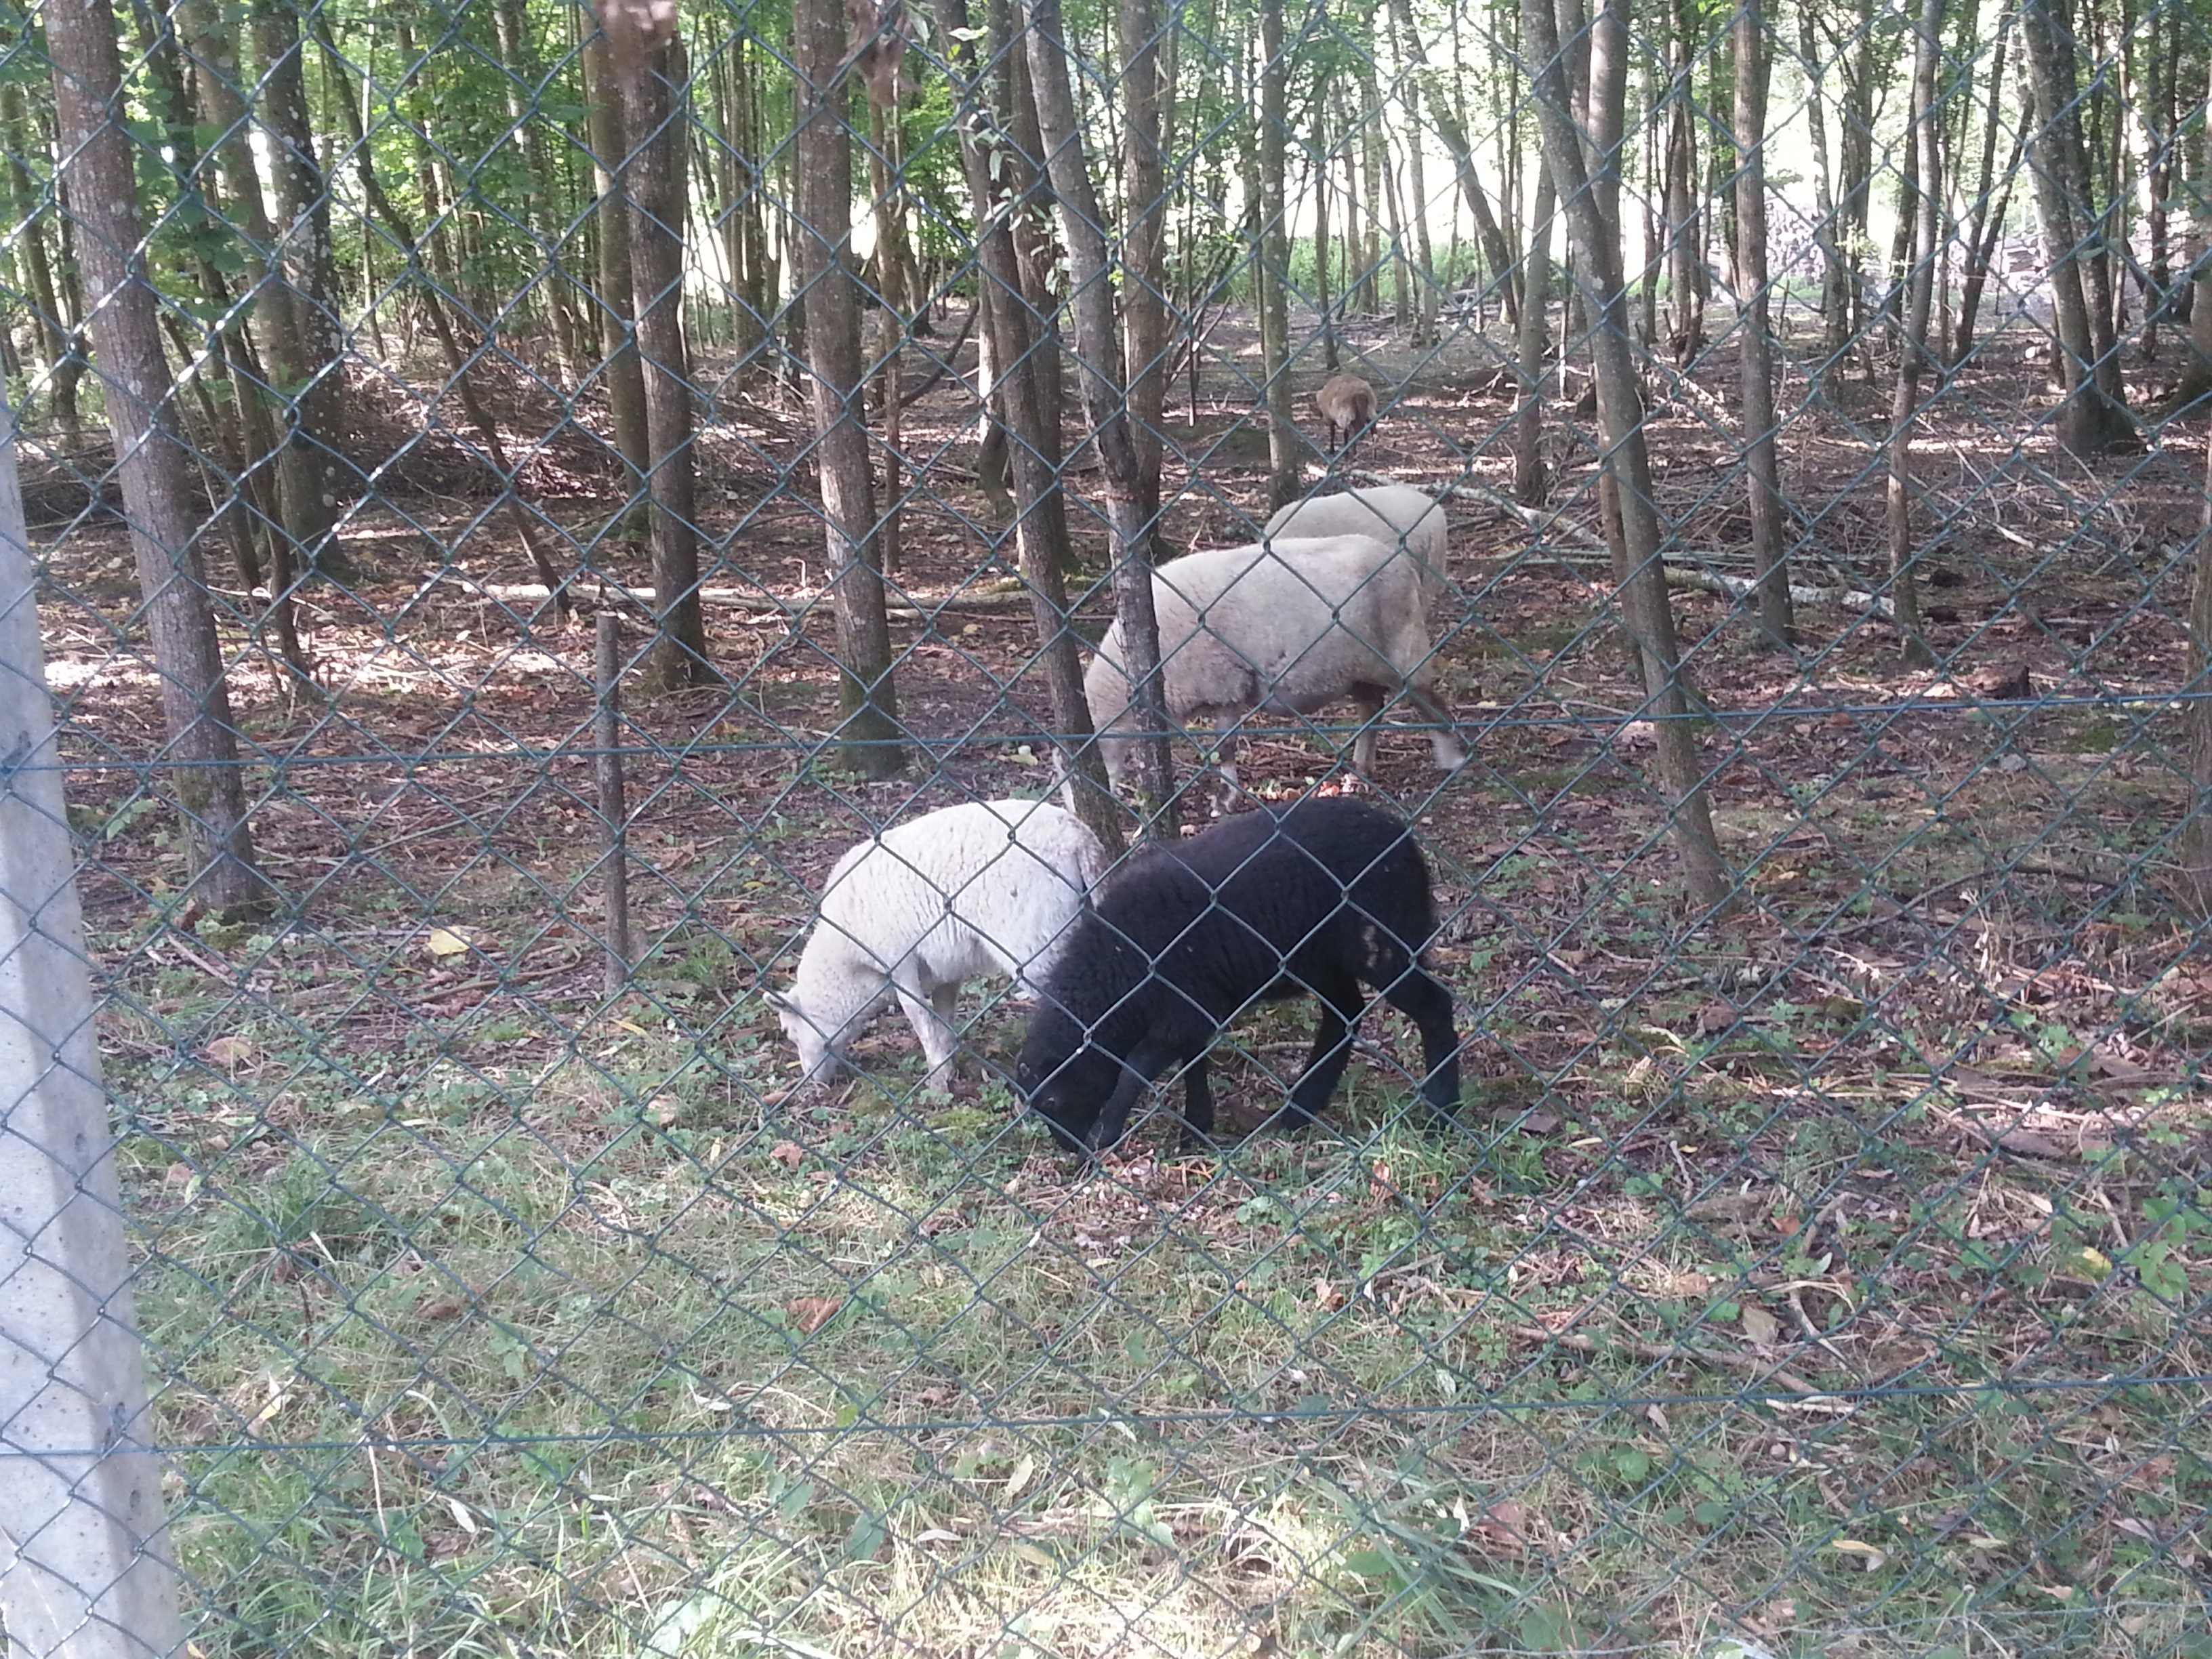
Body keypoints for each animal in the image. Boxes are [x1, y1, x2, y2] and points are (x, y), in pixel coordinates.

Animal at [765, 800, 1106, 1097]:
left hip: (1036, 939)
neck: (848, 968)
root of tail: (1078, 839)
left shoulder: (897, 962)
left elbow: (919, 1016)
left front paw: (937, 1079)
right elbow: (944, 1013)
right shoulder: (946, 967)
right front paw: (948, 1063)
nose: (813, 1082)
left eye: (789, 1033)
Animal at [1021, 800, 1469, 1159]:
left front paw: (1105, 1134)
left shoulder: (1185, 1006)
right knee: (1344, 1014)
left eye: (1054, 1099)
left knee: (1433, 1006)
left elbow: (1136, 1066)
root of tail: (1406, 842)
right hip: (1318, 960)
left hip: (1385, 944)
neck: (1117, 970)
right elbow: (1193, 1059)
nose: (1068, 1148)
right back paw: (1300, 1110)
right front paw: (1195, 1128)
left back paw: (1442, 1110)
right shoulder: (1193, 1008)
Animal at [1084, 529, 1469, 796]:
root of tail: (1401, 561)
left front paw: (1225, 799)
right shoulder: (1225, 689)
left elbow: (1224, 746)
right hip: (1357, 668)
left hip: (1404, 649)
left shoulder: (1227, 684)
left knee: (1430, 702)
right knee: (1371, 707)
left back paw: (1452, 759)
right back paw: (1360, 768)